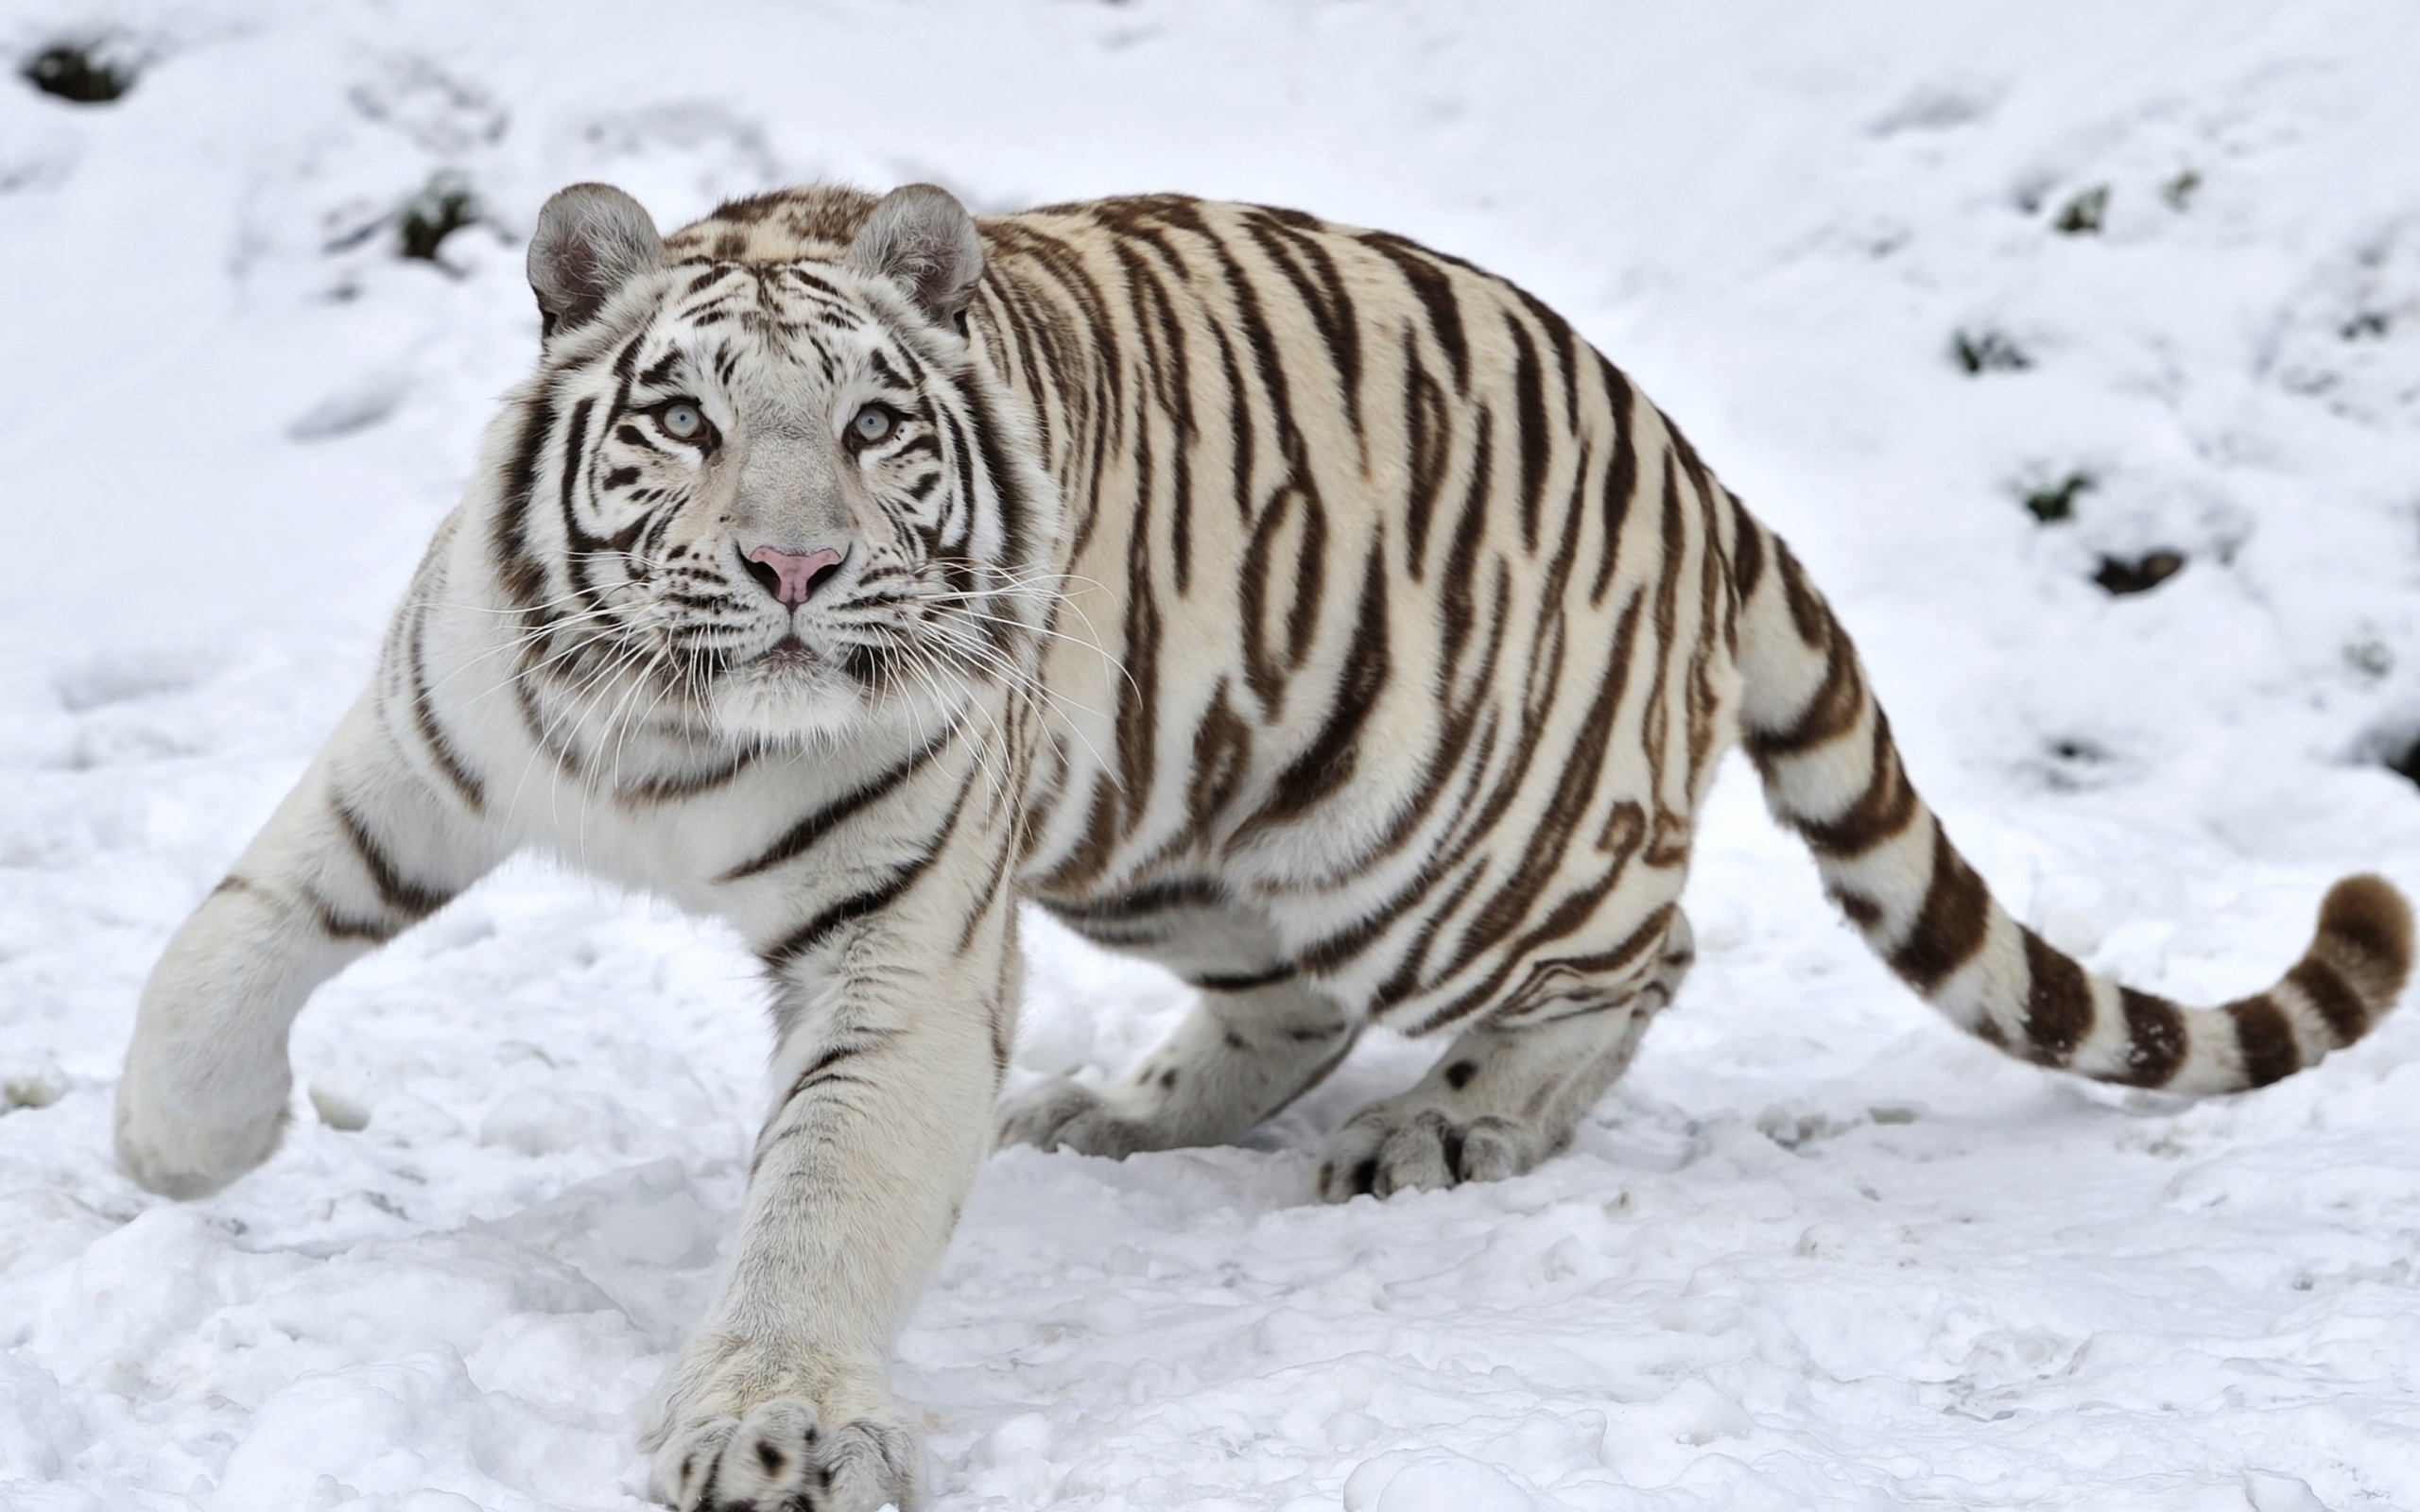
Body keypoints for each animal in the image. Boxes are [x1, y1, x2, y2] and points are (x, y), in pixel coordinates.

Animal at [122, 182, 2410, 1500]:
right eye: (681, 419)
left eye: (869, 428)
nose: (791, 567)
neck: (681, 734)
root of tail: (1694, 464)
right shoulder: (428, 742)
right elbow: (236, 926)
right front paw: (177, 1149)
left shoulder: (902, 951)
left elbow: (815, 1207)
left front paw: (773, 1426)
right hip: (1190, 823)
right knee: (1291, 1001)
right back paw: (1121, 1117)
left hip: (1454, 832)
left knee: (1638, 955)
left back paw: (1443, 1128)